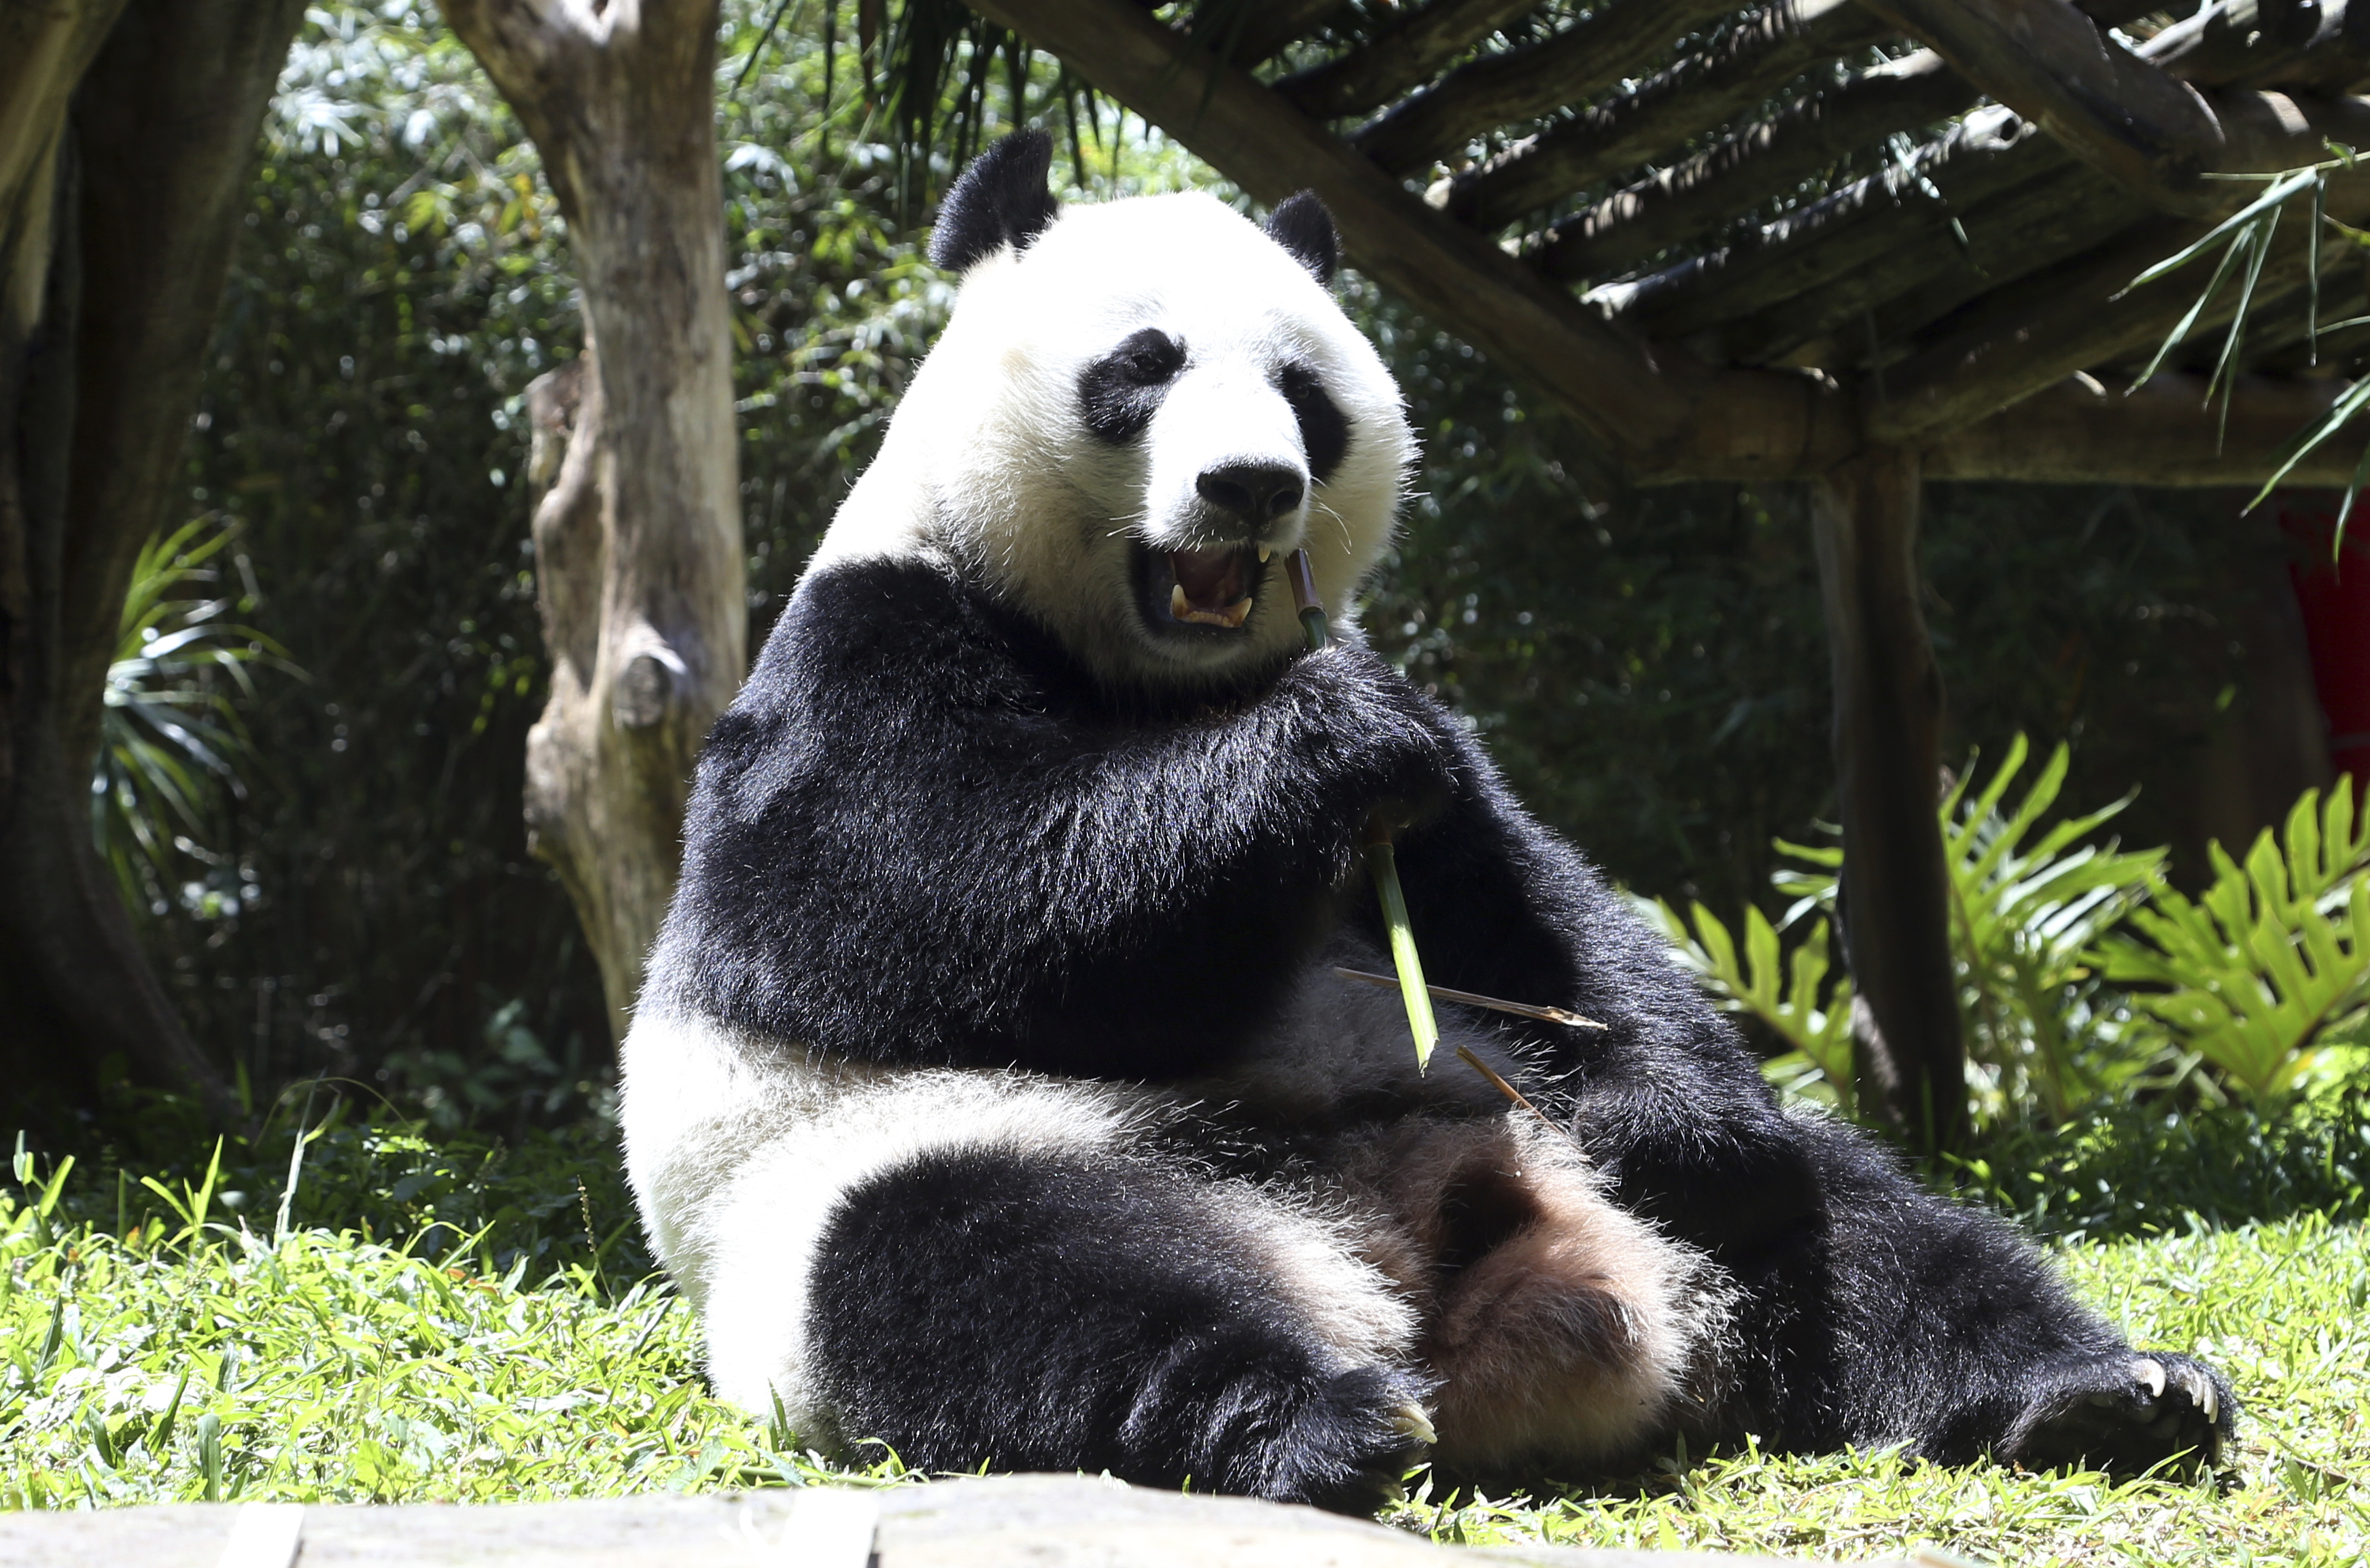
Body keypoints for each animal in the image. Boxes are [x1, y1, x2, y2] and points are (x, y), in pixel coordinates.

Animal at [621, 130, 2232, 1513]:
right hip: (902, 1171)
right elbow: (924, 900)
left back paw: (2101, 1395)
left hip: (1576, 1149)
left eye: (1304, 394)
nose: (1250, 485)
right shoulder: (862, 652)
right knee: (1001, 1276)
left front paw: (1675, 1108)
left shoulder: (1454, 773)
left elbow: (1546, 919)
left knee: (1860, 1229)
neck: (1168, 682)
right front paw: (1318, 751)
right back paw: (1305, 1418)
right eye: (1142, 366)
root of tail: (1411, 1276)